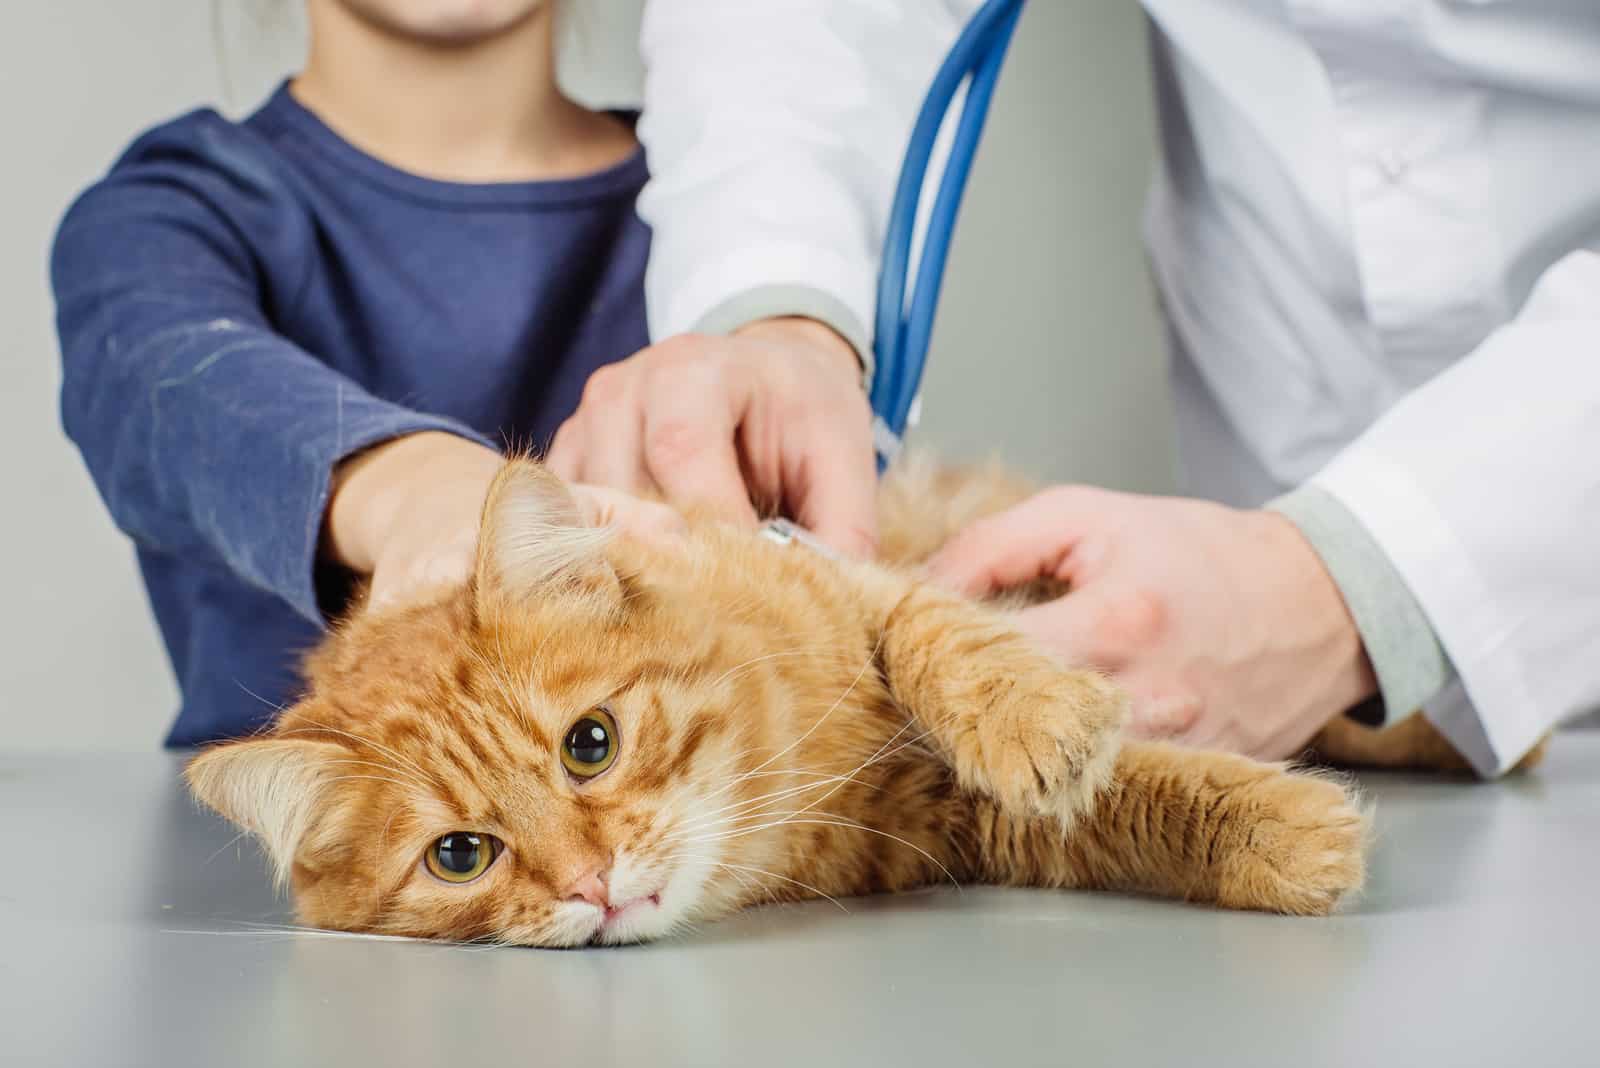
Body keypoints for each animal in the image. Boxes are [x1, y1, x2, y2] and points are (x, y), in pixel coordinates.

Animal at [187, 454, 1523, 946]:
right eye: (461, 856)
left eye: (590, 745)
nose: (592, 885)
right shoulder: (951, 826)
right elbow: (1116, 812)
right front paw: (1284, 836)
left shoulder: (856, 586)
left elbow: (948, 638)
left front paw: (1041, 718)